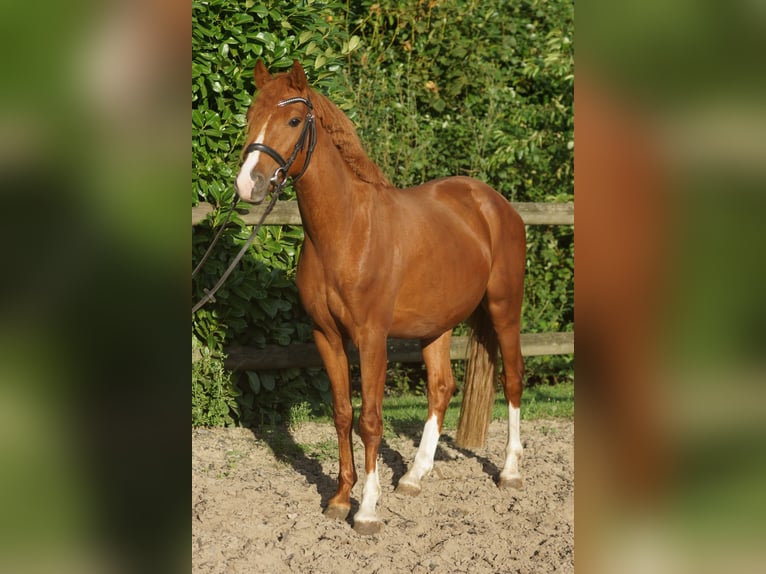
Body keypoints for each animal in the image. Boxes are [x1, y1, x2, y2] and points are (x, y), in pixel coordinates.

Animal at [237, 59, 528, 536]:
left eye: (294, 120)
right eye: (250, 115)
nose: (248, 184)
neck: (345, 232)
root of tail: (495, 204)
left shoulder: (372, 339)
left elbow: (371, 420)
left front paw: (368, 510)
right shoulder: (326, 337)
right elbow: (342, 413)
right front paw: (340, 499)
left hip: (505, 310)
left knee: (514, 378)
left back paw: (510, 472)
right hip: (436, 325)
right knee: (441, 387)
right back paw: (413, 476)